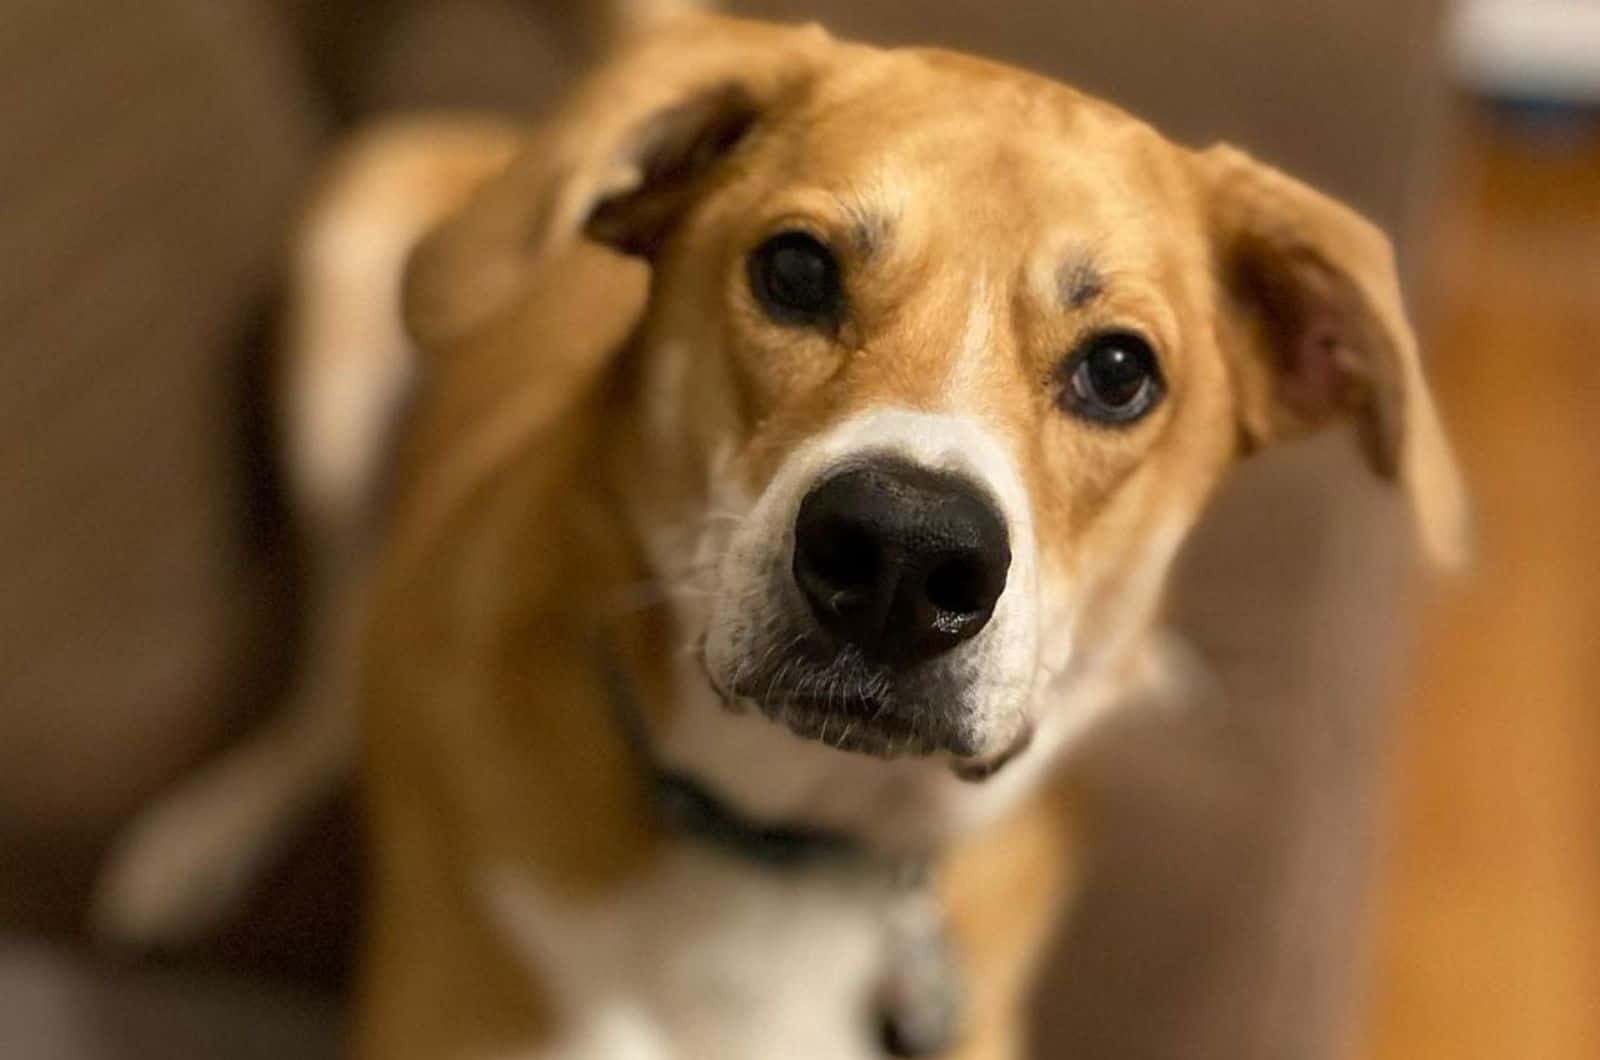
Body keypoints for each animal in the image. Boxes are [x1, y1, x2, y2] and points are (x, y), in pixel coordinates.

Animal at [90, 4, 1465, 1056]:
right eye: (795, 271)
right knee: (328, 653)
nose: (905, 557)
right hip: (342, 303)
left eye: (1120, 370)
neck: (790, 850)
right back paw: (206, 833)